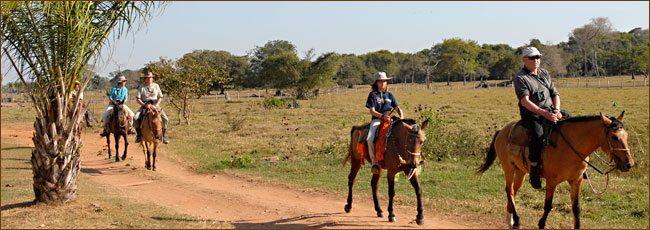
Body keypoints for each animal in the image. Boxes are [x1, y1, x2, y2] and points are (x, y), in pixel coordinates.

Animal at [476, 111, 632, 228]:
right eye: (614, 136)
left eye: (626, 136)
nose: (629, 164)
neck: (570, 146)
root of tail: (502, 131)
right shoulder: (551, 181)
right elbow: (548, 205)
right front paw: (541, 224)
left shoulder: (577, 180)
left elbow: (576, 207)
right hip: (508, 168)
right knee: (509, 190)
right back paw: (516, 219)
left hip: (520, 171)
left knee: (513, 191)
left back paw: (510, 220)